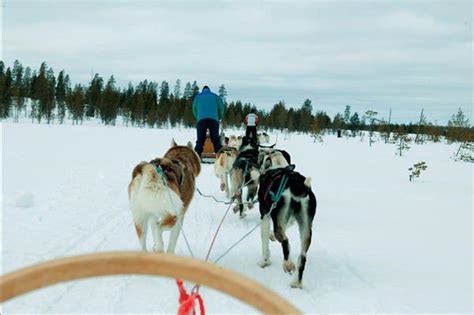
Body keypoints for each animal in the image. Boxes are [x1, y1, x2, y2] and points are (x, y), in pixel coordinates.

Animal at [258, 162, 316, 290]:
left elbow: (264, 242)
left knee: (285, 241)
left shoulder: (265, 216)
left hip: (279, 219)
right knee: (302, 257)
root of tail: (297, 185)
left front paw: (264, 262)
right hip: (306, 227)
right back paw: (296, 283)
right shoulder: (289, 219)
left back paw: (288, 264)